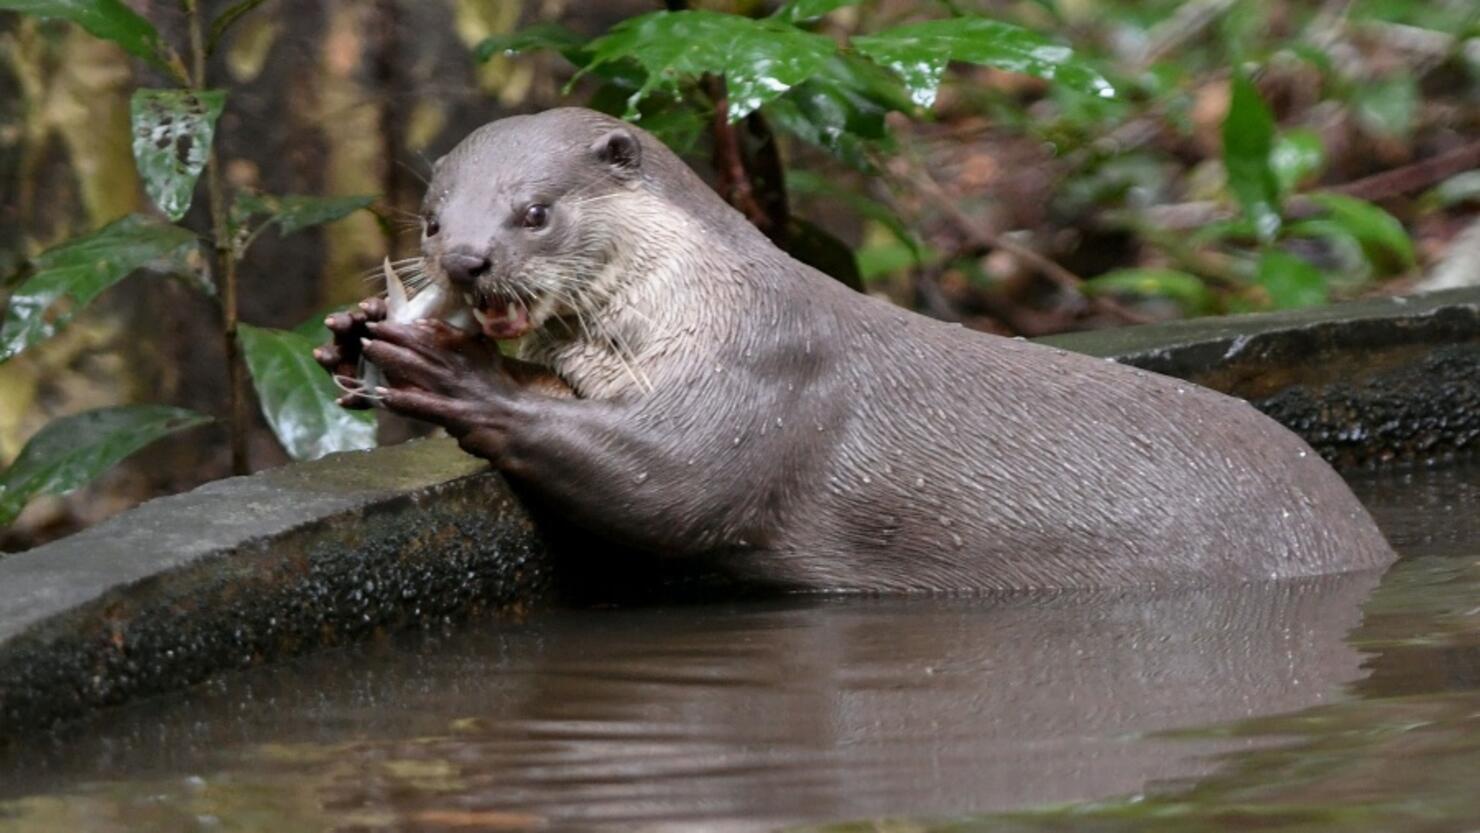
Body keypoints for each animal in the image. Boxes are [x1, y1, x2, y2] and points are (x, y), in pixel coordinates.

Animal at [312, 107, 1385, 591]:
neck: (703, 303)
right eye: (432, 218)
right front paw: (351, 339)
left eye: (534, 212)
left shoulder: (762, 378)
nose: (467, 258)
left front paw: (453, 372)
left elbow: (675, 488)